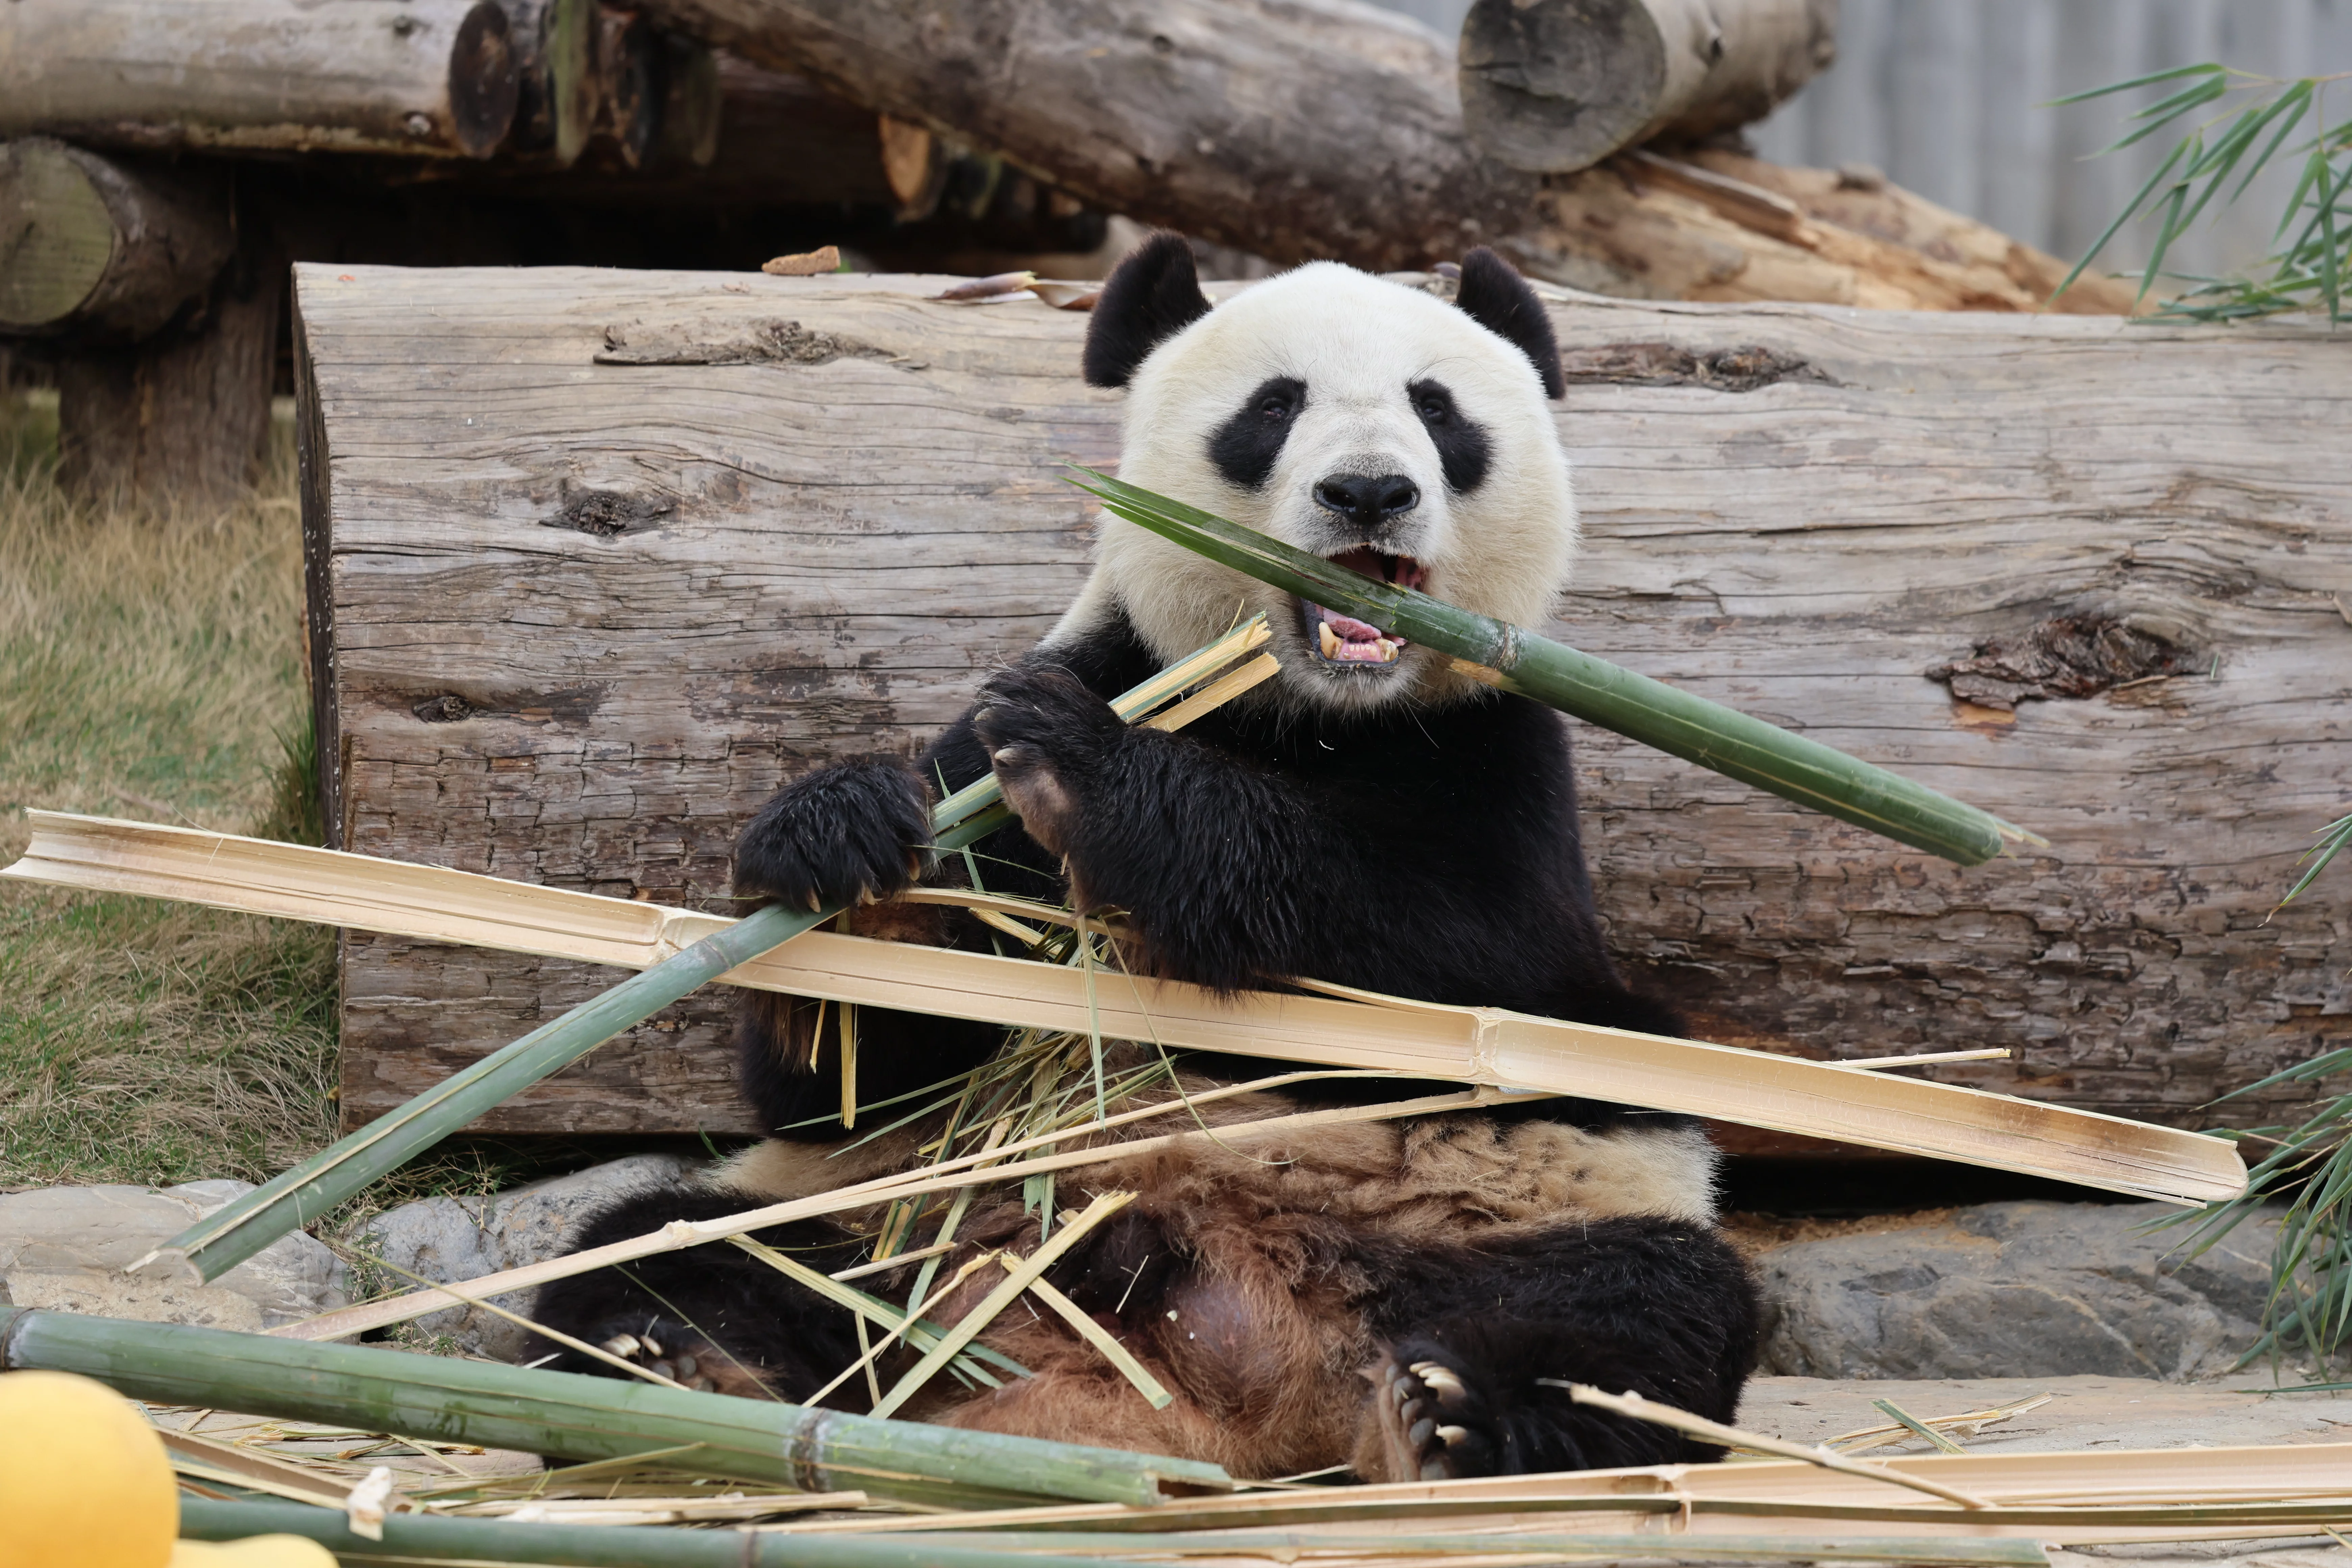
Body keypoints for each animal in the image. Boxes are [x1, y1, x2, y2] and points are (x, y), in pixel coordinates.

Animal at [528, 234, 1760, 1483]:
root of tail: (1234, 1386)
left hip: (1546, 1208)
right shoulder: (1080, 682)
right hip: (876, 1209)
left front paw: (1097, 774)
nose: (1371, 492)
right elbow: (847, 1079)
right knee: (670, 1250)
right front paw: (843, 841)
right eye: (1273, 407)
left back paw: (1462, 1424)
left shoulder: (1503, 753)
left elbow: (1464, 960)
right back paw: (680, 1360)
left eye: (1438, 409)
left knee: (1636, 1317)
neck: (1305, 714)